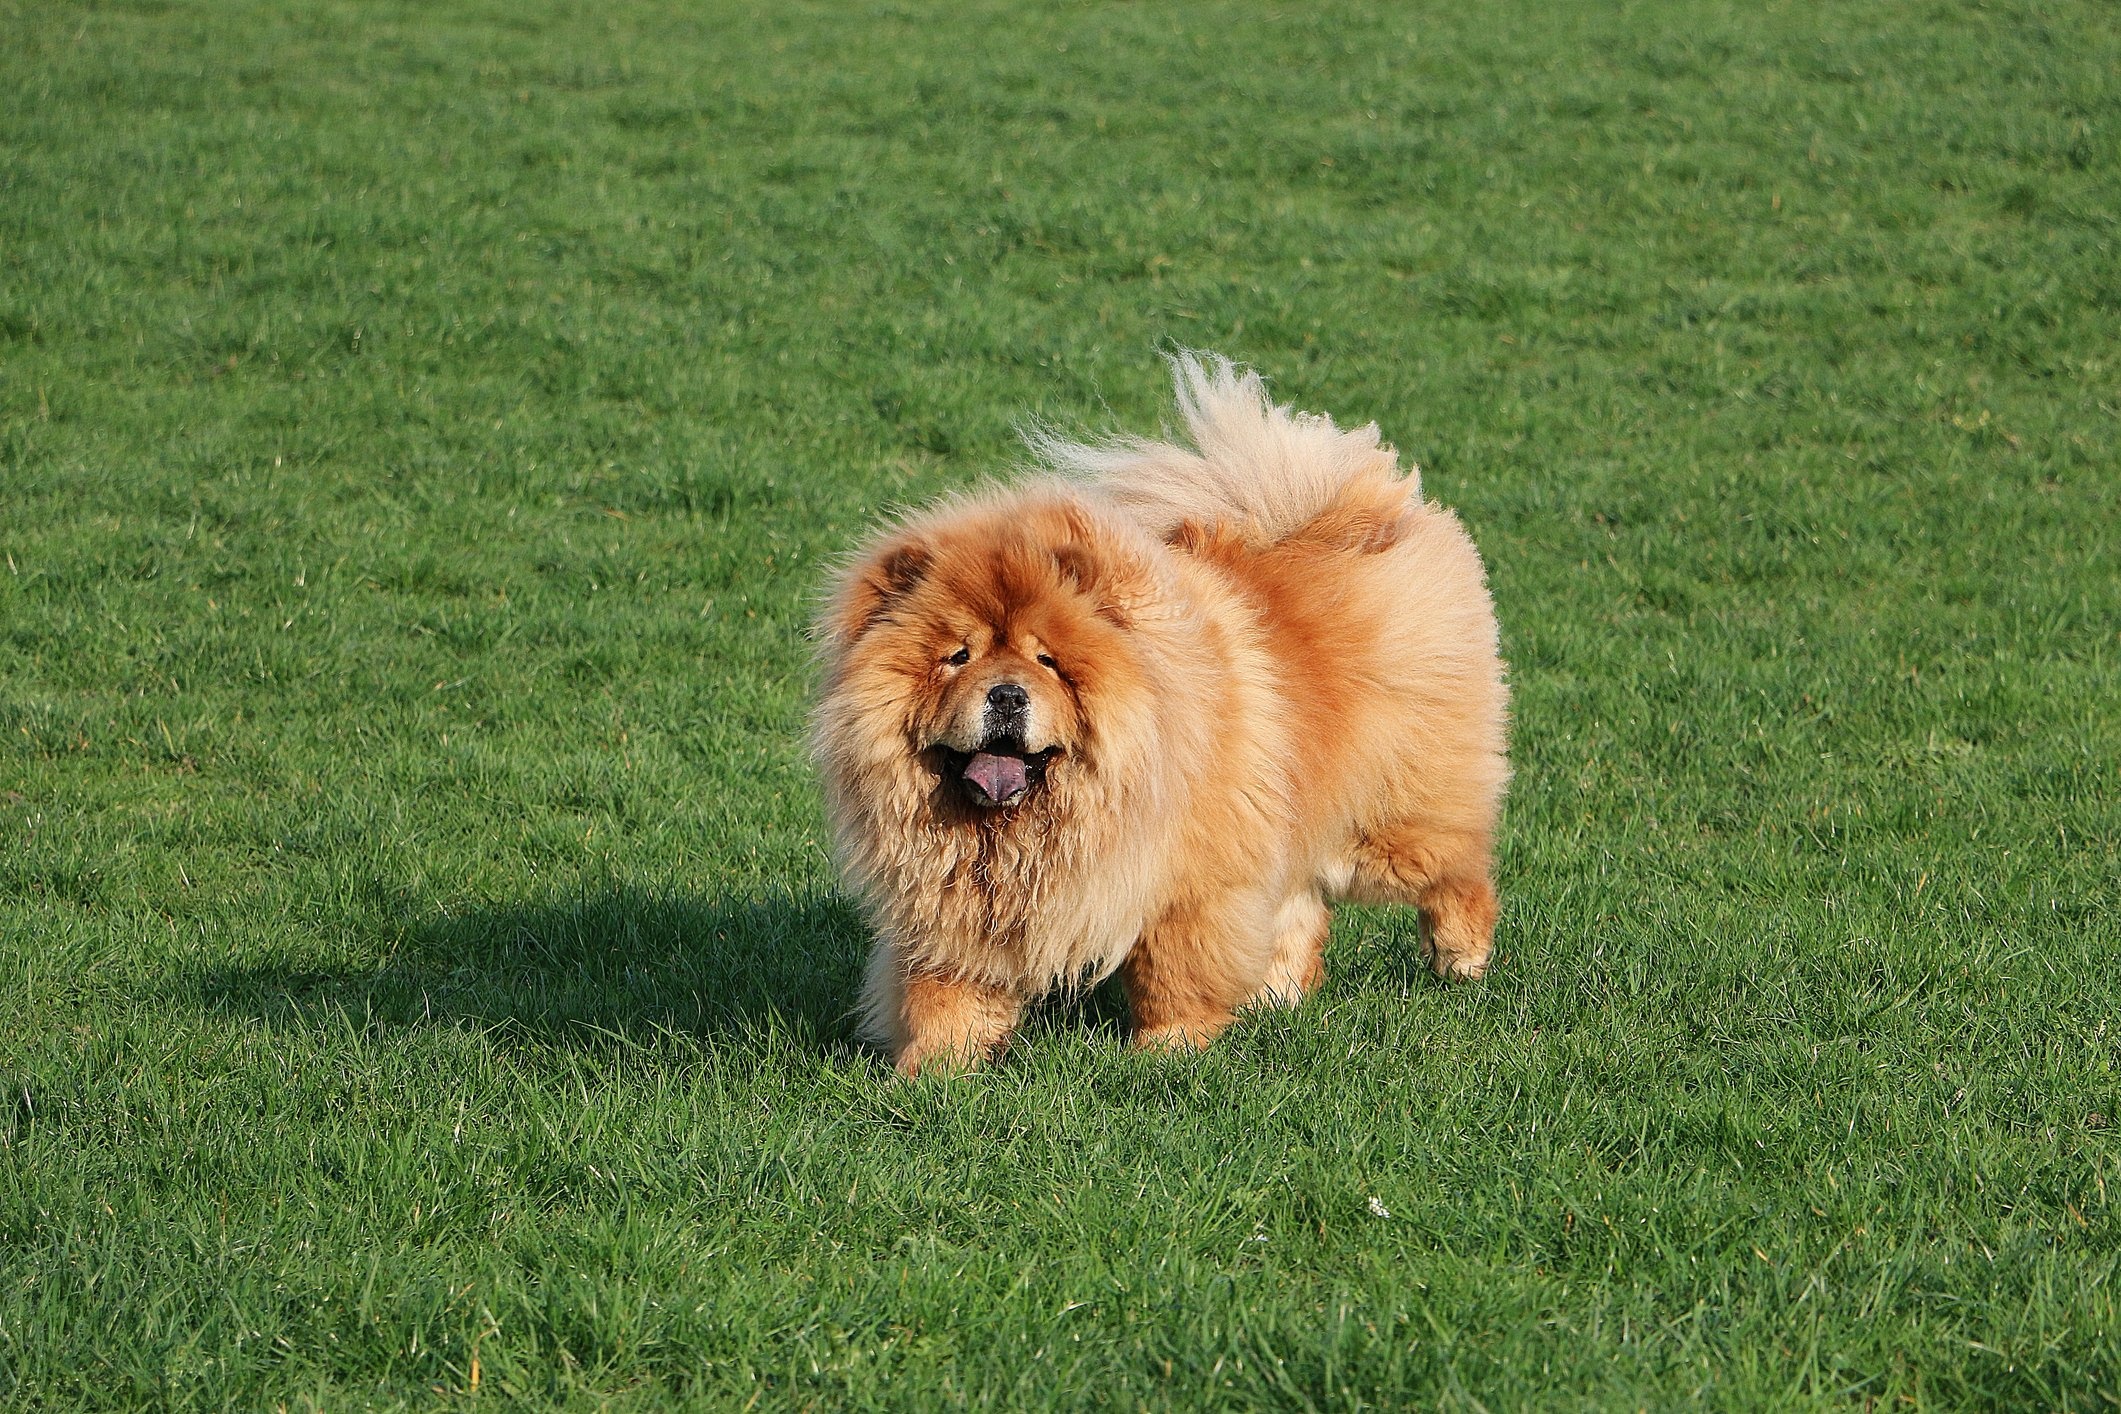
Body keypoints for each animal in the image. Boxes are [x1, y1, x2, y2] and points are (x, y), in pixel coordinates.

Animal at [805, 354, 1510, 1072]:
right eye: (957, 656)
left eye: (1048, 661)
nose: (1005, 693)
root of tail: (1354, 506)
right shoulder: (950, 905)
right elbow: (943, 990)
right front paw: (933, 1071)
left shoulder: (1192, 886)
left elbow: (1174, 972)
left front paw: (1168, 1051)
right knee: (1302, 909)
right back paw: (1278, 997)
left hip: (1388, 822)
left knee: (1457, 871)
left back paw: (1460, 961)